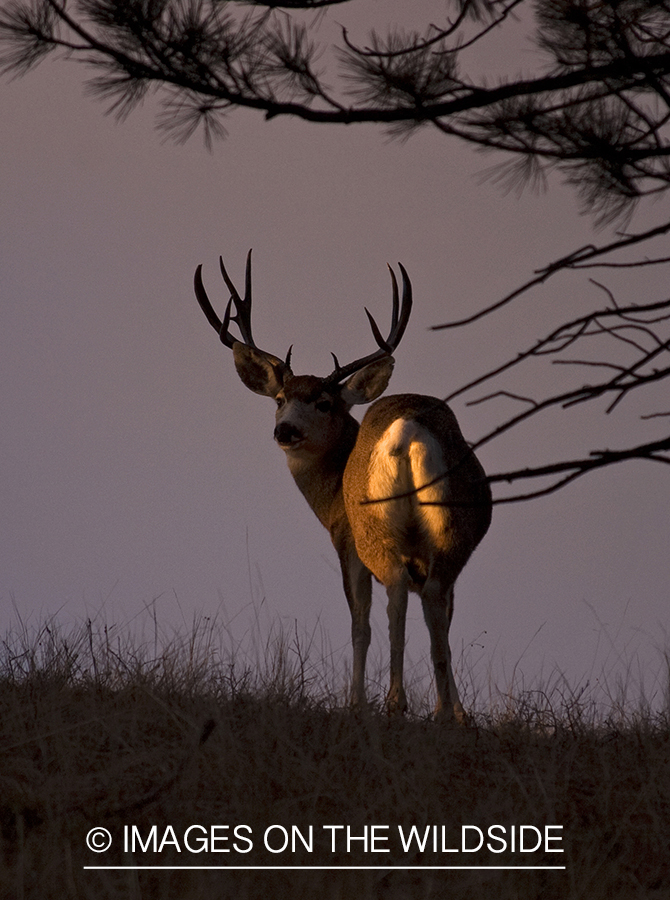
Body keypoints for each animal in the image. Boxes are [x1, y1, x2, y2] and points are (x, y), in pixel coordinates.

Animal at [194, 252, 492, 722]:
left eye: (323, 402)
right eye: (280, 399)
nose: (285, 430)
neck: (330, 495)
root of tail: (408, 429)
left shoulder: (345, 539)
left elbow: (359, 624)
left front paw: (355, 703)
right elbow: (443, 617)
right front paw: (459, 711)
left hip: (374, 530)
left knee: (394, 595)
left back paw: (395, 702)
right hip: (453, 532)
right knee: (433, 599)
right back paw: (444, 712)